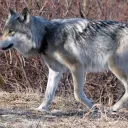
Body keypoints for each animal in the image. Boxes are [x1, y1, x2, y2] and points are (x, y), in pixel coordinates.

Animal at [0, 7, 128, 112]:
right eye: (4, 31)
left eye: (11, 31)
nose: (0, 45)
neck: (45, 35)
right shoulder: (55, 70)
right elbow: (48, 94)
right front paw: (41, 109)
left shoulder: (76, 66)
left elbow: (77, 95)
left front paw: (93, 108)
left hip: (114, 66)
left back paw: (113, 108)